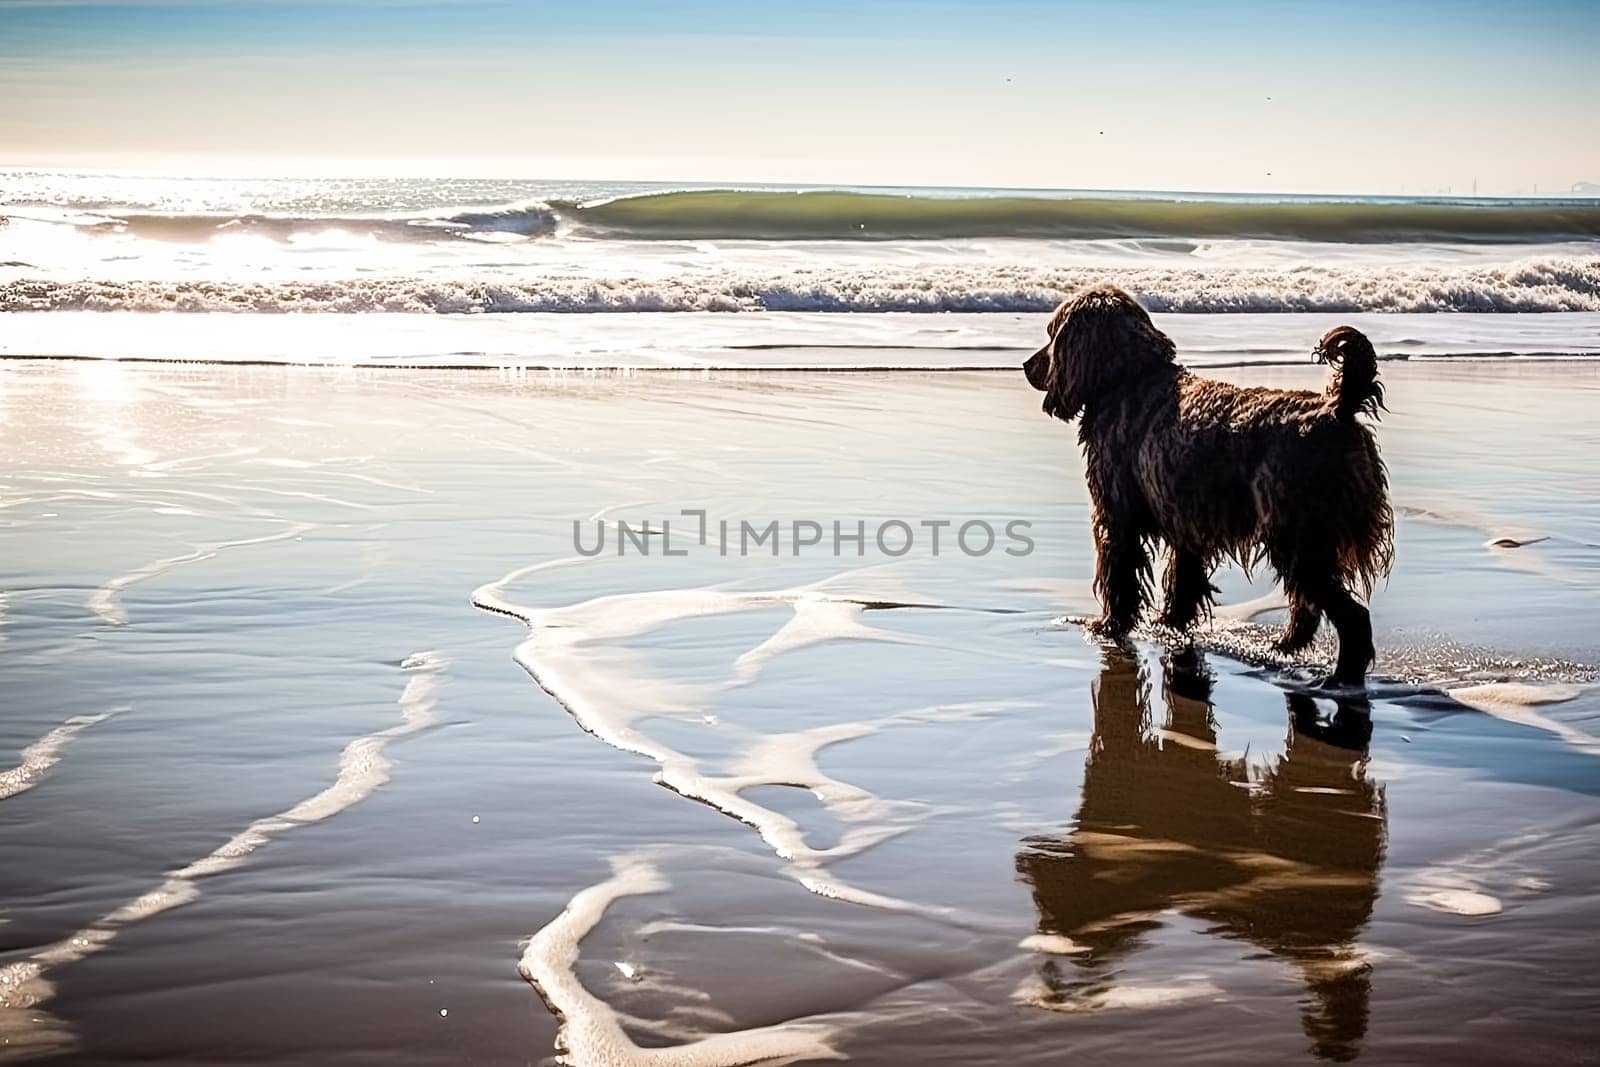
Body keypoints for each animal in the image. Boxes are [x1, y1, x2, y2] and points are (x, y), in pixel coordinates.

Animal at [1024, 283, 1388, 684]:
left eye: (1052, 335)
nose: (1026, 366)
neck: (1128, 379)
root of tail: (1338, 408)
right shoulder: (1185, 521)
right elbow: (1183, 583)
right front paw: (1170, 625)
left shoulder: (1118, 519)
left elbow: (1119, 579)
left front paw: (1109, 627)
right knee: (1308, 604)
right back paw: (1285, 647)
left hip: (1298, 534)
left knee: (1348, 613)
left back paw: (1341, 676)